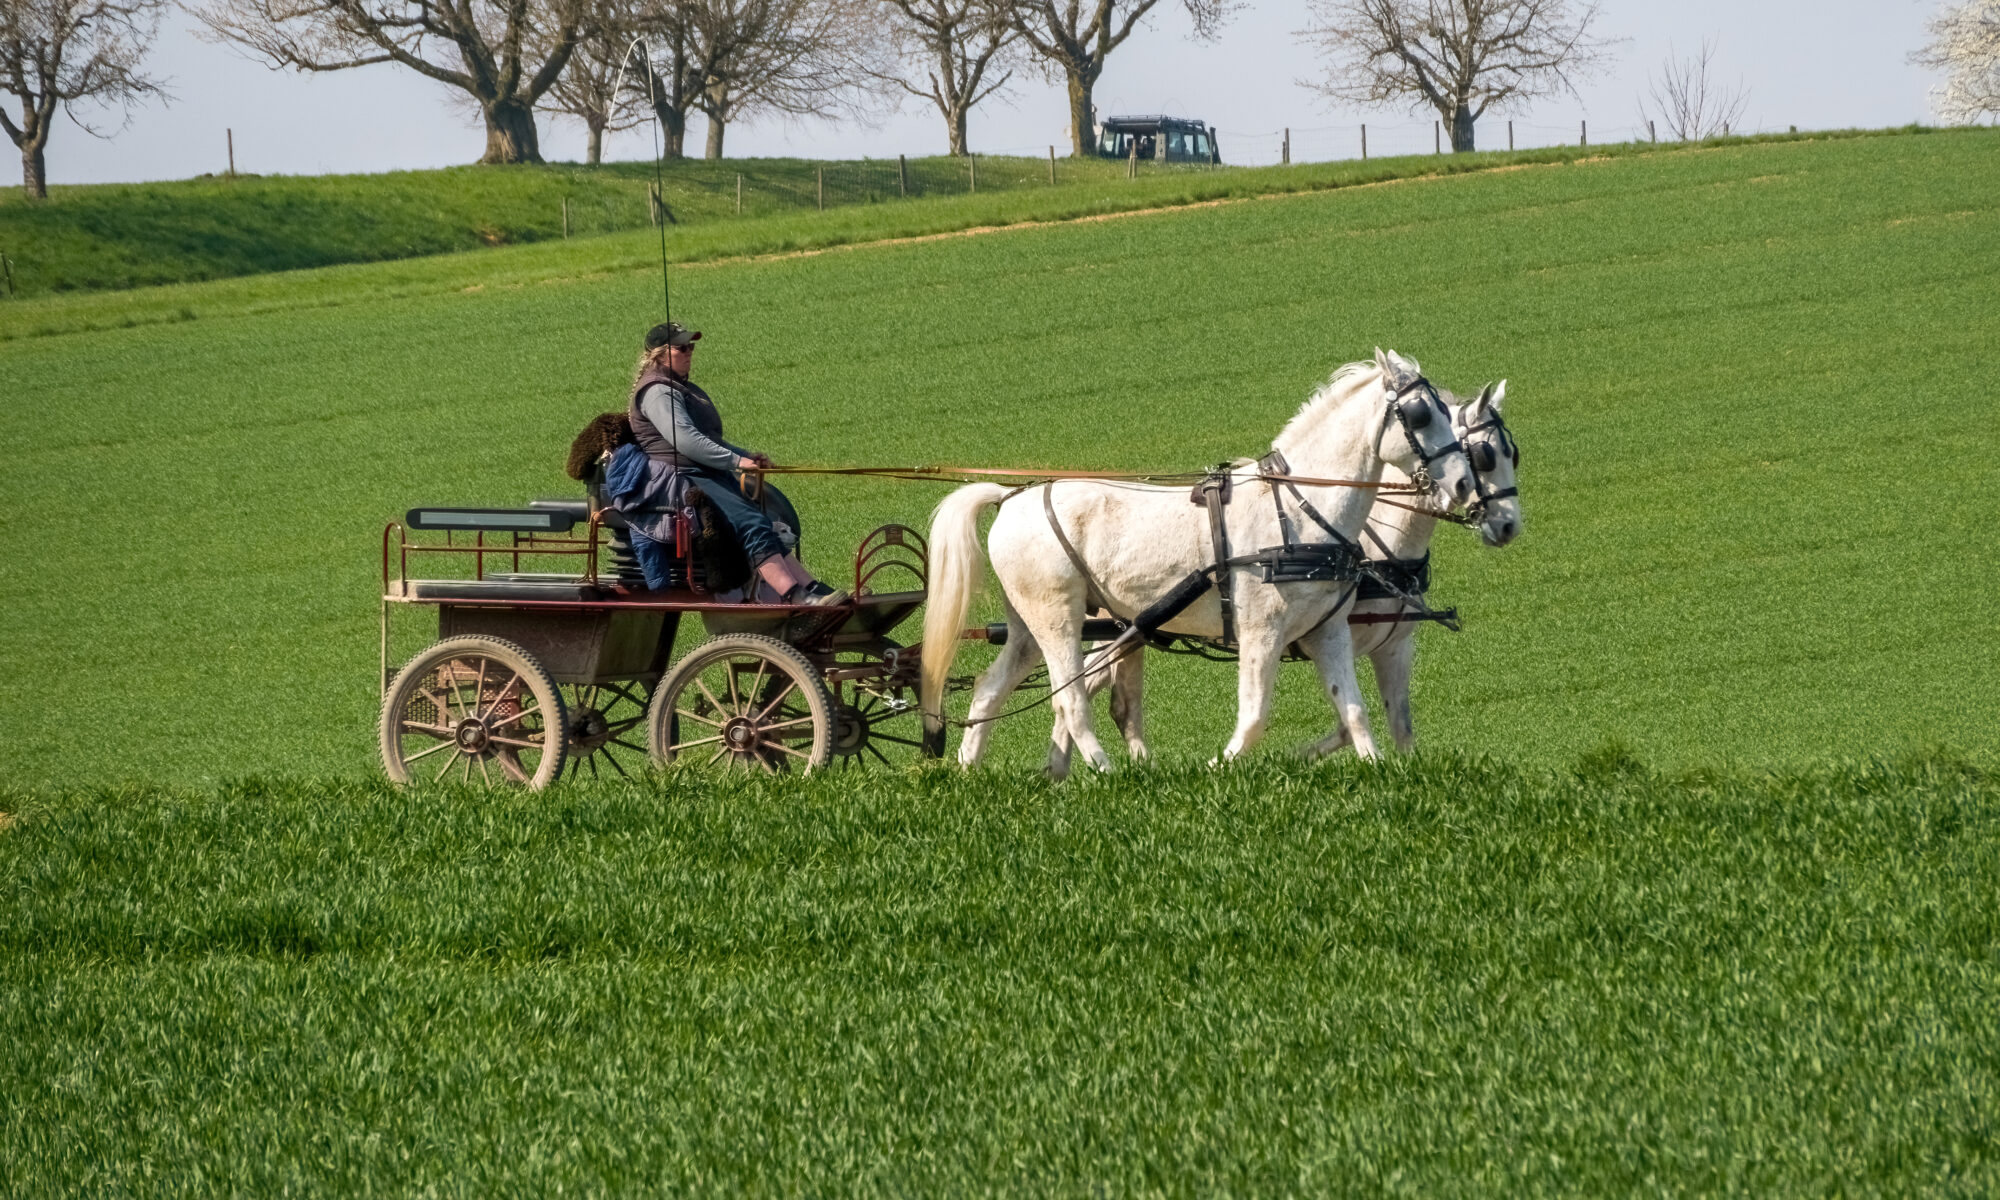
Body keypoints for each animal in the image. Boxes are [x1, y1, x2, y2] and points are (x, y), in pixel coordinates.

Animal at [924, 352, 1488, 772]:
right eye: (1420, 415)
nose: (1463, 483)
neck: (1297, 508)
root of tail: (1011, 497)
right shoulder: (1262, 628)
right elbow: (1256, 714)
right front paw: (1219, 768)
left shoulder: (1327, 630)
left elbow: (1354, 711)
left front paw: (1377, 774)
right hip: (1057, 619)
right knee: (1071, 700)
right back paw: (1108, 774)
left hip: (1027, 627)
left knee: (989, 690)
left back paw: (969, 770)